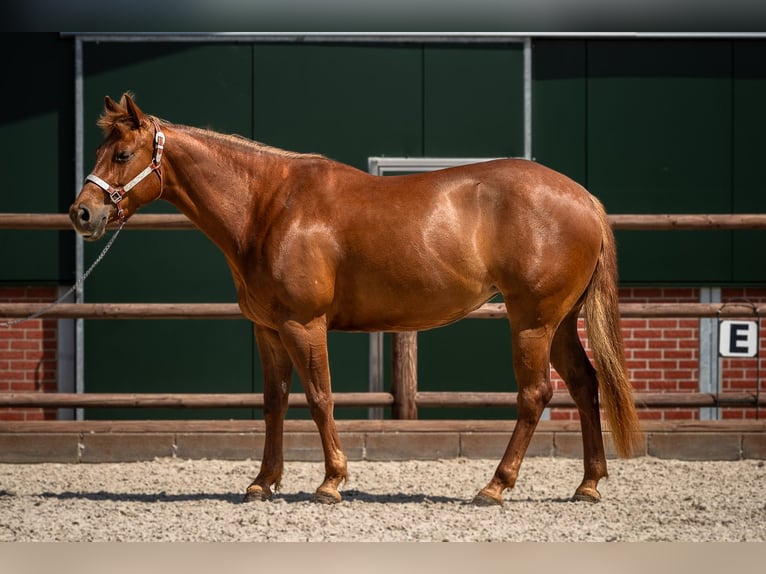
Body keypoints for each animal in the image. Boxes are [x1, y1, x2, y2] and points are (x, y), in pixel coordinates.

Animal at [69, 94, 640, 508]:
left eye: (122, 155)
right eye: (98, 153)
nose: (82, 213)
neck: (267, 206)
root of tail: (583, 198)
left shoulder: (304, 325)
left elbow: (320, 398)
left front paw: (330, 482)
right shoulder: (268, 330)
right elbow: (274, 402)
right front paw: (262, 482)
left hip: (532, 321)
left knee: (534, 395)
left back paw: (495, 487)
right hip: (560, 323)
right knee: (585, 385)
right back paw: (587, 484)